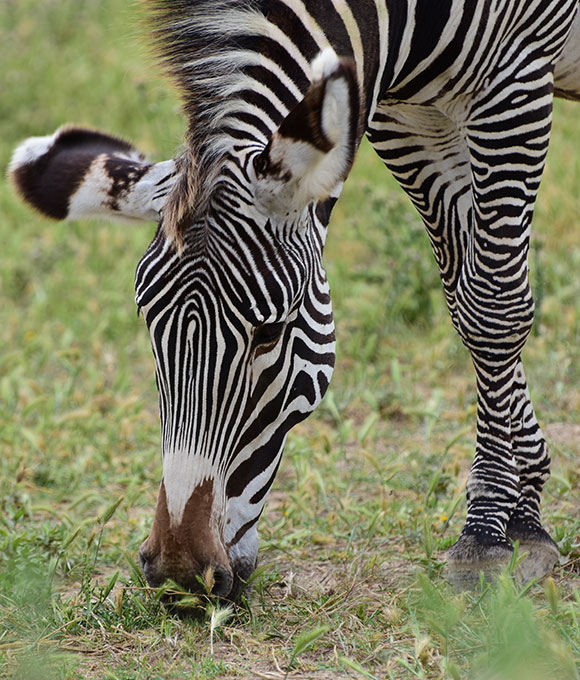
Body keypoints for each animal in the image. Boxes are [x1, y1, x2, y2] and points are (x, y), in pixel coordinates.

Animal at [9, 0, 580, 596]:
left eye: (269, 332)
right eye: (148, 325)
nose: (178, 574)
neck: (398, 23)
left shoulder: (515, 76)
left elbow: (493, 305)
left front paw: (493, 531)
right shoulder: (402, 112)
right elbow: (462, 291)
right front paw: (524, 506)